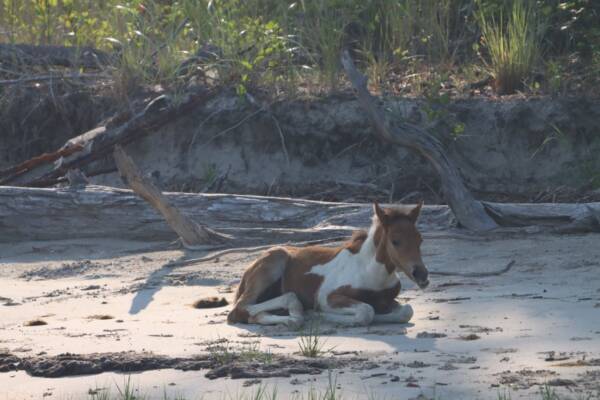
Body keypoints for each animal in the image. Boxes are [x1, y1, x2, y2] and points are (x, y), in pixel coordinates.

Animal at [227, 203, 428, 328]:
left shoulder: (386, 299)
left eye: (420, 240)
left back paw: (290, 319)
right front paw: (319, 315)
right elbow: (366, 311)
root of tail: (247, 271)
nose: (422, 276)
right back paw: (297, 315)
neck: (371, 270)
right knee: (241, 307)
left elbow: (406, 311)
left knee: (249, 314)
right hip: (274, 263)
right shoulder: (327, 296)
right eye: (395, 241)